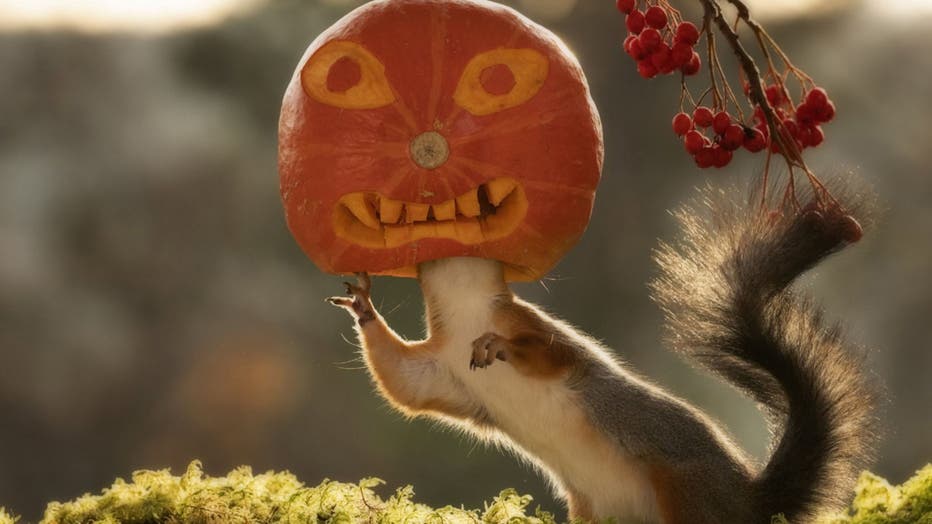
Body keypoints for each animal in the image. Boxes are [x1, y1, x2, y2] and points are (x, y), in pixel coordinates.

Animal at [326, 182, 872, 520]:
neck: (465, 316)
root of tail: (748, 498)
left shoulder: (540, 331)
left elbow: (550, 355)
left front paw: (497, 345)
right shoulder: (445, 372)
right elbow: (406, 385)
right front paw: (362, 305)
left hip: (688, 495)